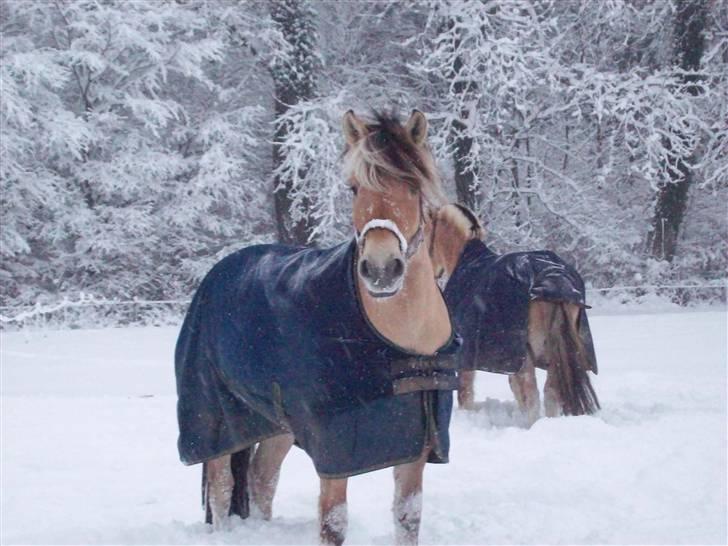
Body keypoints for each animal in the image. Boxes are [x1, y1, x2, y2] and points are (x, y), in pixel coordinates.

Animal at [178, 108, 456, 540]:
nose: (380, 269)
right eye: (354, 188)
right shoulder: (334, 451)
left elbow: (408, 517)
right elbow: (333, 523)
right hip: (217, 424)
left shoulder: (415, 448)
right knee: (223, 490)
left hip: (276, 426)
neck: (400, 340)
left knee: (262, 479)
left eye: (412, 187)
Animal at [430, 202, 600, 422]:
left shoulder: (468, 358)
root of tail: (555, 280)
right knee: (550, 392)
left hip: (523, 357)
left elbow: (465, 392)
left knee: (534, 396)